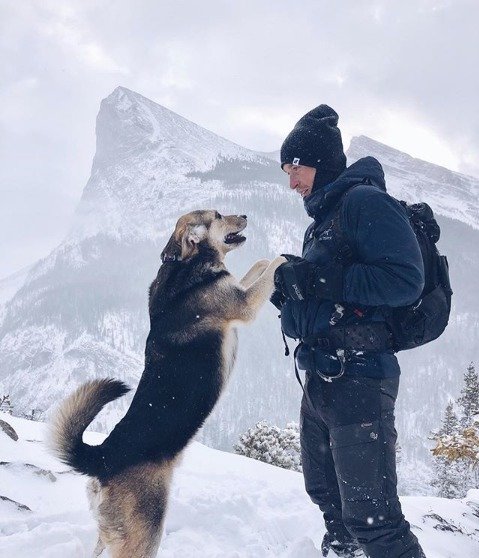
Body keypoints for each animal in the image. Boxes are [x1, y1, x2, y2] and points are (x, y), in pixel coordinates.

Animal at [49, 211, 284, 558]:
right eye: (217, 215)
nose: (243, 215)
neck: (186, 262)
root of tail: (103, 459)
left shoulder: (236, 290)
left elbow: (256, 267)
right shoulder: (243, 304)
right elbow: (272, 266)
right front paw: (284, 258)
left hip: (108, 531)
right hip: (144, 536)